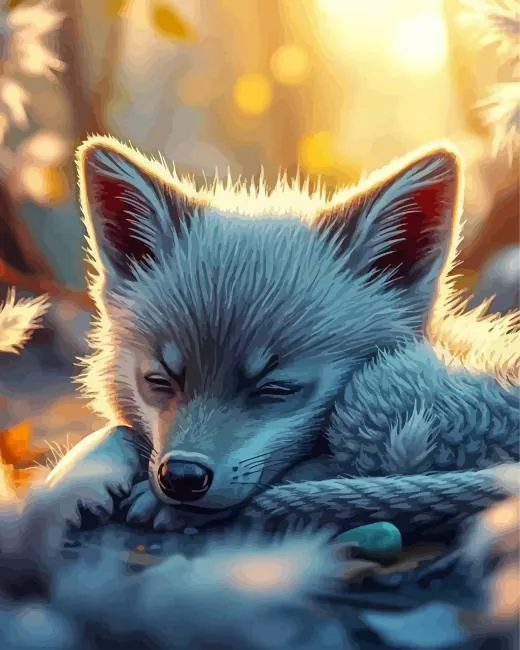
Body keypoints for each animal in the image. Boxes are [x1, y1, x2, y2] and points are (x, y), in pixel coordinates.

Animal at [45, 135, 519, 538]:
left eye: (276, 389)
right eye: (159, 381)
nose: (181, 477)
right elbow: (113, 432)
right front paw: (72, 480)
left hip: (372, 398)